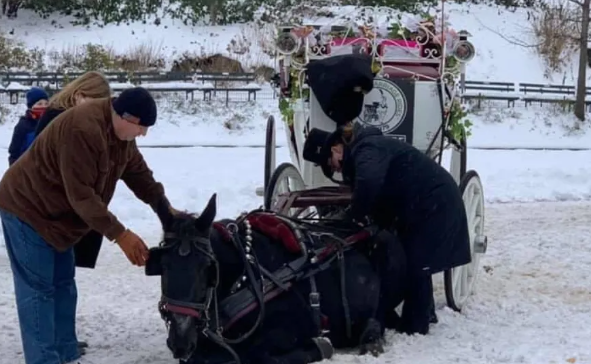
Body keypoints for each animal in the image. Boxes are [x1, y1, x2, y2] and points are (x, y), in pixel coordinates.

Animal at [146, 195, 410, 364]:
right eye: (164, 266)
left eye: (207, 268)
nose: (180, 340)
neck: (245, 274)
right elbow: (198, 357)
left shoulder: (296, 324)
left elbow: (257, 355)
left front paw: (320, 346)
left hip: (386, 254)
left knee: (378, 315)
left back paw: (370, 337)